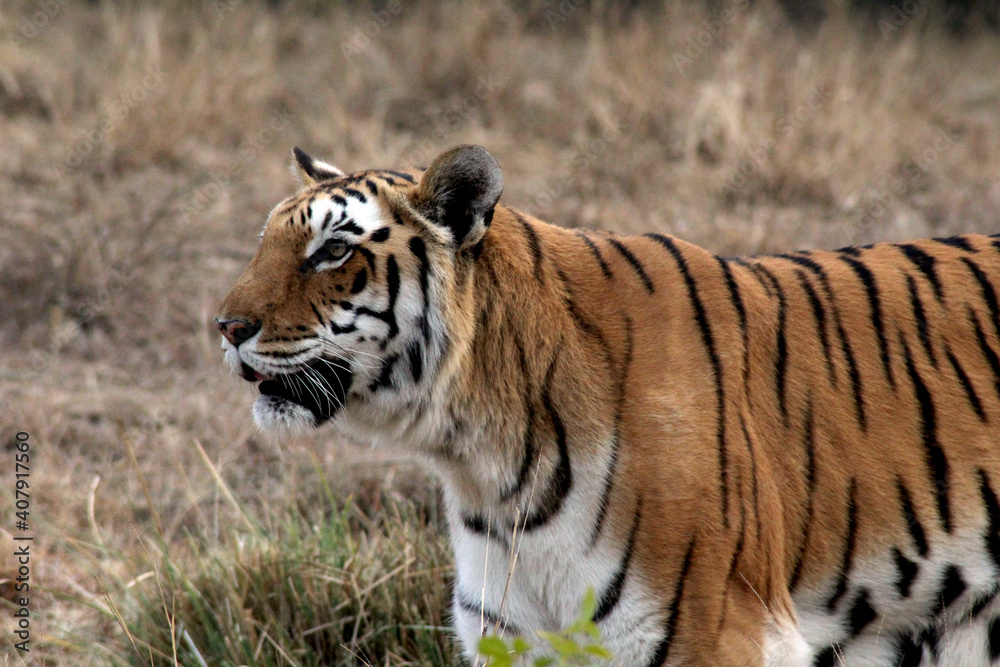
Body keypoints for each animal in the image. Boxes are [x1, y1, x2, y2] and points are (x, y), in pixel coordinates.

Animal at [216, 144, 1000, 666]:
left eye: (331, 251)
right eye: (264, 241)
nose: (224, 327)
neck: (486, 464)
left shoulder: (718, 629)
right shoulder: (518, 641)